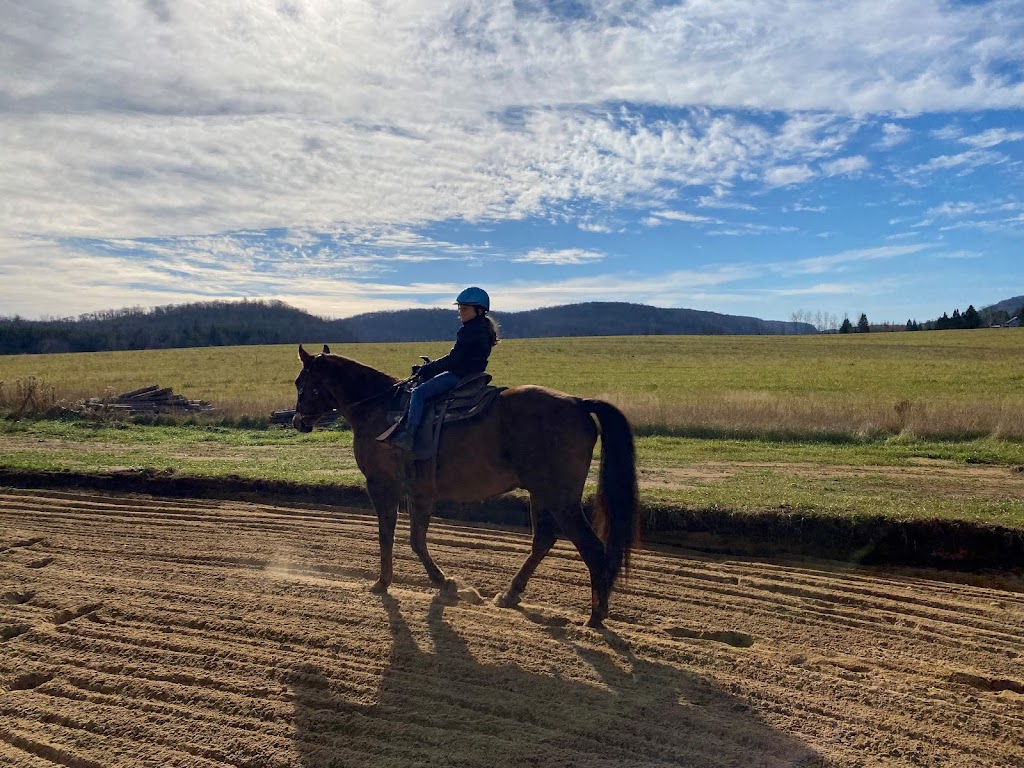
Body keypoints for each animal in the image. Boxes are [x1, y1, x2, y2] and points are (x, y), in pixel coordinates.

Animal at [290, 346, 638, 626]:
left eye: (300, 383)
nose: (297, 421)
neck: (379, 408)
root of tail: (578, 403)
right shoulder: (419, 492)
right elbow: (416, 539)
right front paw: (439, 583)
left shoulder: (381, 485)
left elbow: (388, 534)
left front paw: (386, 582)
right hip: (542, 494)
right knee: (544, 539)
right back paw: (511, 594)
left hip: (560, 498)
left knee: (591, 548)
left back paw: (595, 616)